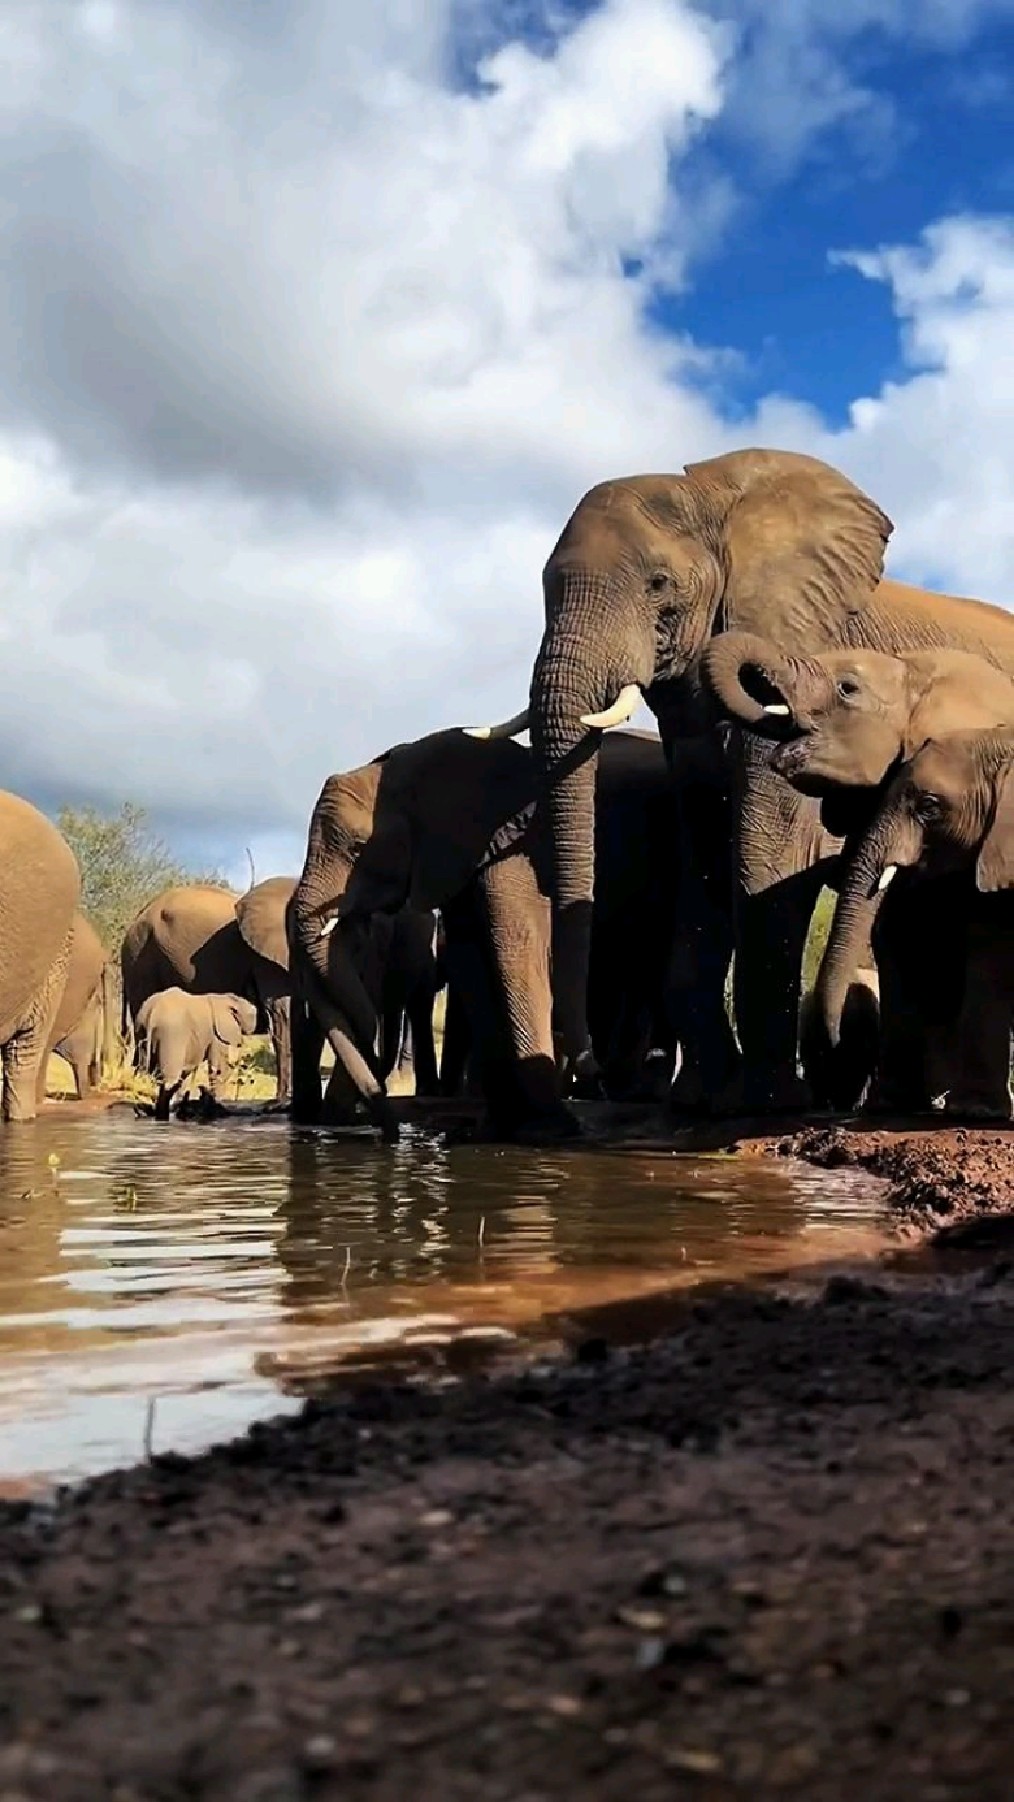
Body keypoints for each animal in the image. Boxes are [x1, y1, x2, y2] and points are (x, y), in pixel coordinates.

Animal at [479, 443, 1014, 1110]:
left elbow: (766, 859)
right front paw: (701, 1102)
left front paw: (763, 1102)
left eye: (659, 585)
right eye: (546, 590)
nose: (590, 1076)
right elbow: (706, 860)